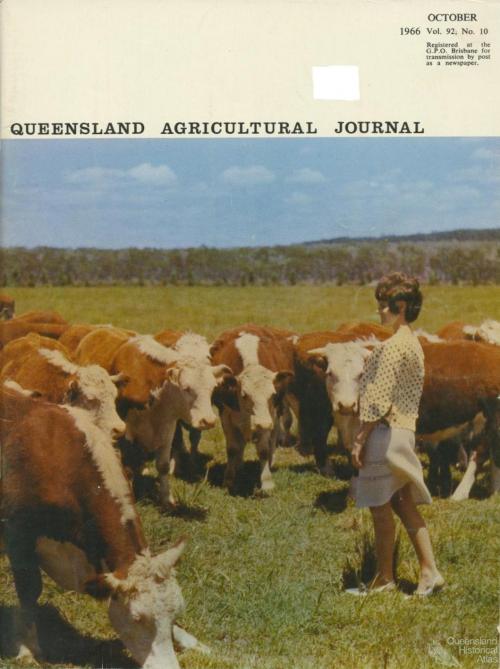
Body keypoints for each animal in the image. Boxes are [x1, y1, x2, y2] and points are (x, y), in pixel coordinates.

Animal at [0, 386, 207, 668]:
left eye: (176, 613)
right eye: (137, 618)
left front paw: (191, 640)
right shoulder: (19, 535)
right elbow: (30, 591)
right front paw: (27, 649)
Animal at [209, 324, 294, 490]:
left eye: (272, 394)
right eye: (244, 395)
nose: (263, 423)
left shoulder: (270, 414)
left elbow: (264, 450)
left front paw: (267, 482)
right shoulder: (226, 414)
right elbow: (233, 449)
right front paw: (229, 479)